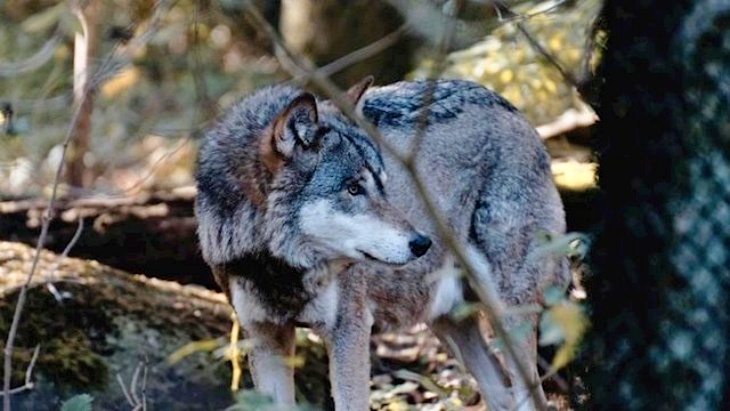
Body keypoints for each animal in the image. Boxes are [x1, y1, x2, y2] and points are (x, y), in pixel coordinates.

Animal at [195, 77, 569, 411]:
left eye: (382, 186)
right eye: (353, 188)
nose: (422, 243)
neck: (278, 269)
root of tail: (515, 111)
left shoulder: (350, 330)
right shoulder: (265, 337)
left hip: (508, 315)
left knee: (533, 398)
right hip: (447, 321)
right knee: (500, 391)